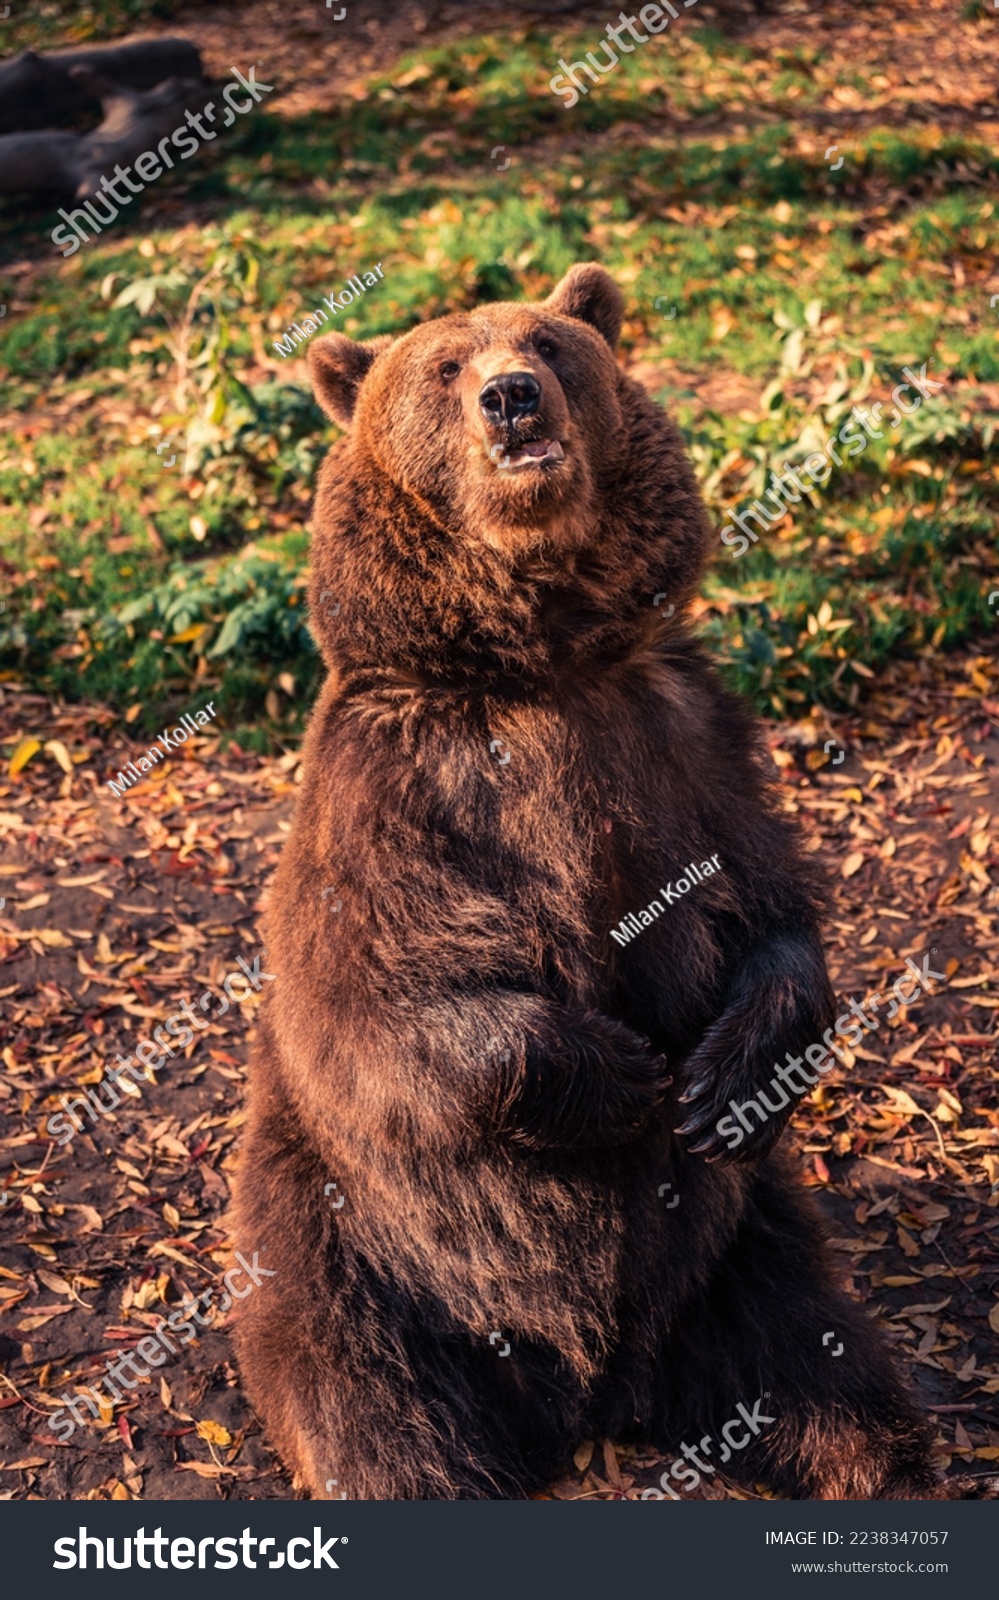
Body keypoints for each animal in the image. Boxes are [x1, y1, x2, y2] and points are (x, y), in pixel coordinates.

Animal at [229, 263, 996, 1501]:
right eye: (445, 364)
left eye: (549, 342)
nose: (511, 398)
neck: (541, 661)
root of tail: (600, 1394)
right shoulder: (396, 790)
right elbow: (382, 997)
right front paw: (620, 1073)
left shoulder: (682, 734)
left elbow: (773, 910)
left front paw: (721, 1072)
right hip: (347, 1247)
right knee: (379, 1410)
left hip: (742, 1247)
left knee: (827, 1367)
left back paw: (875, 1457)